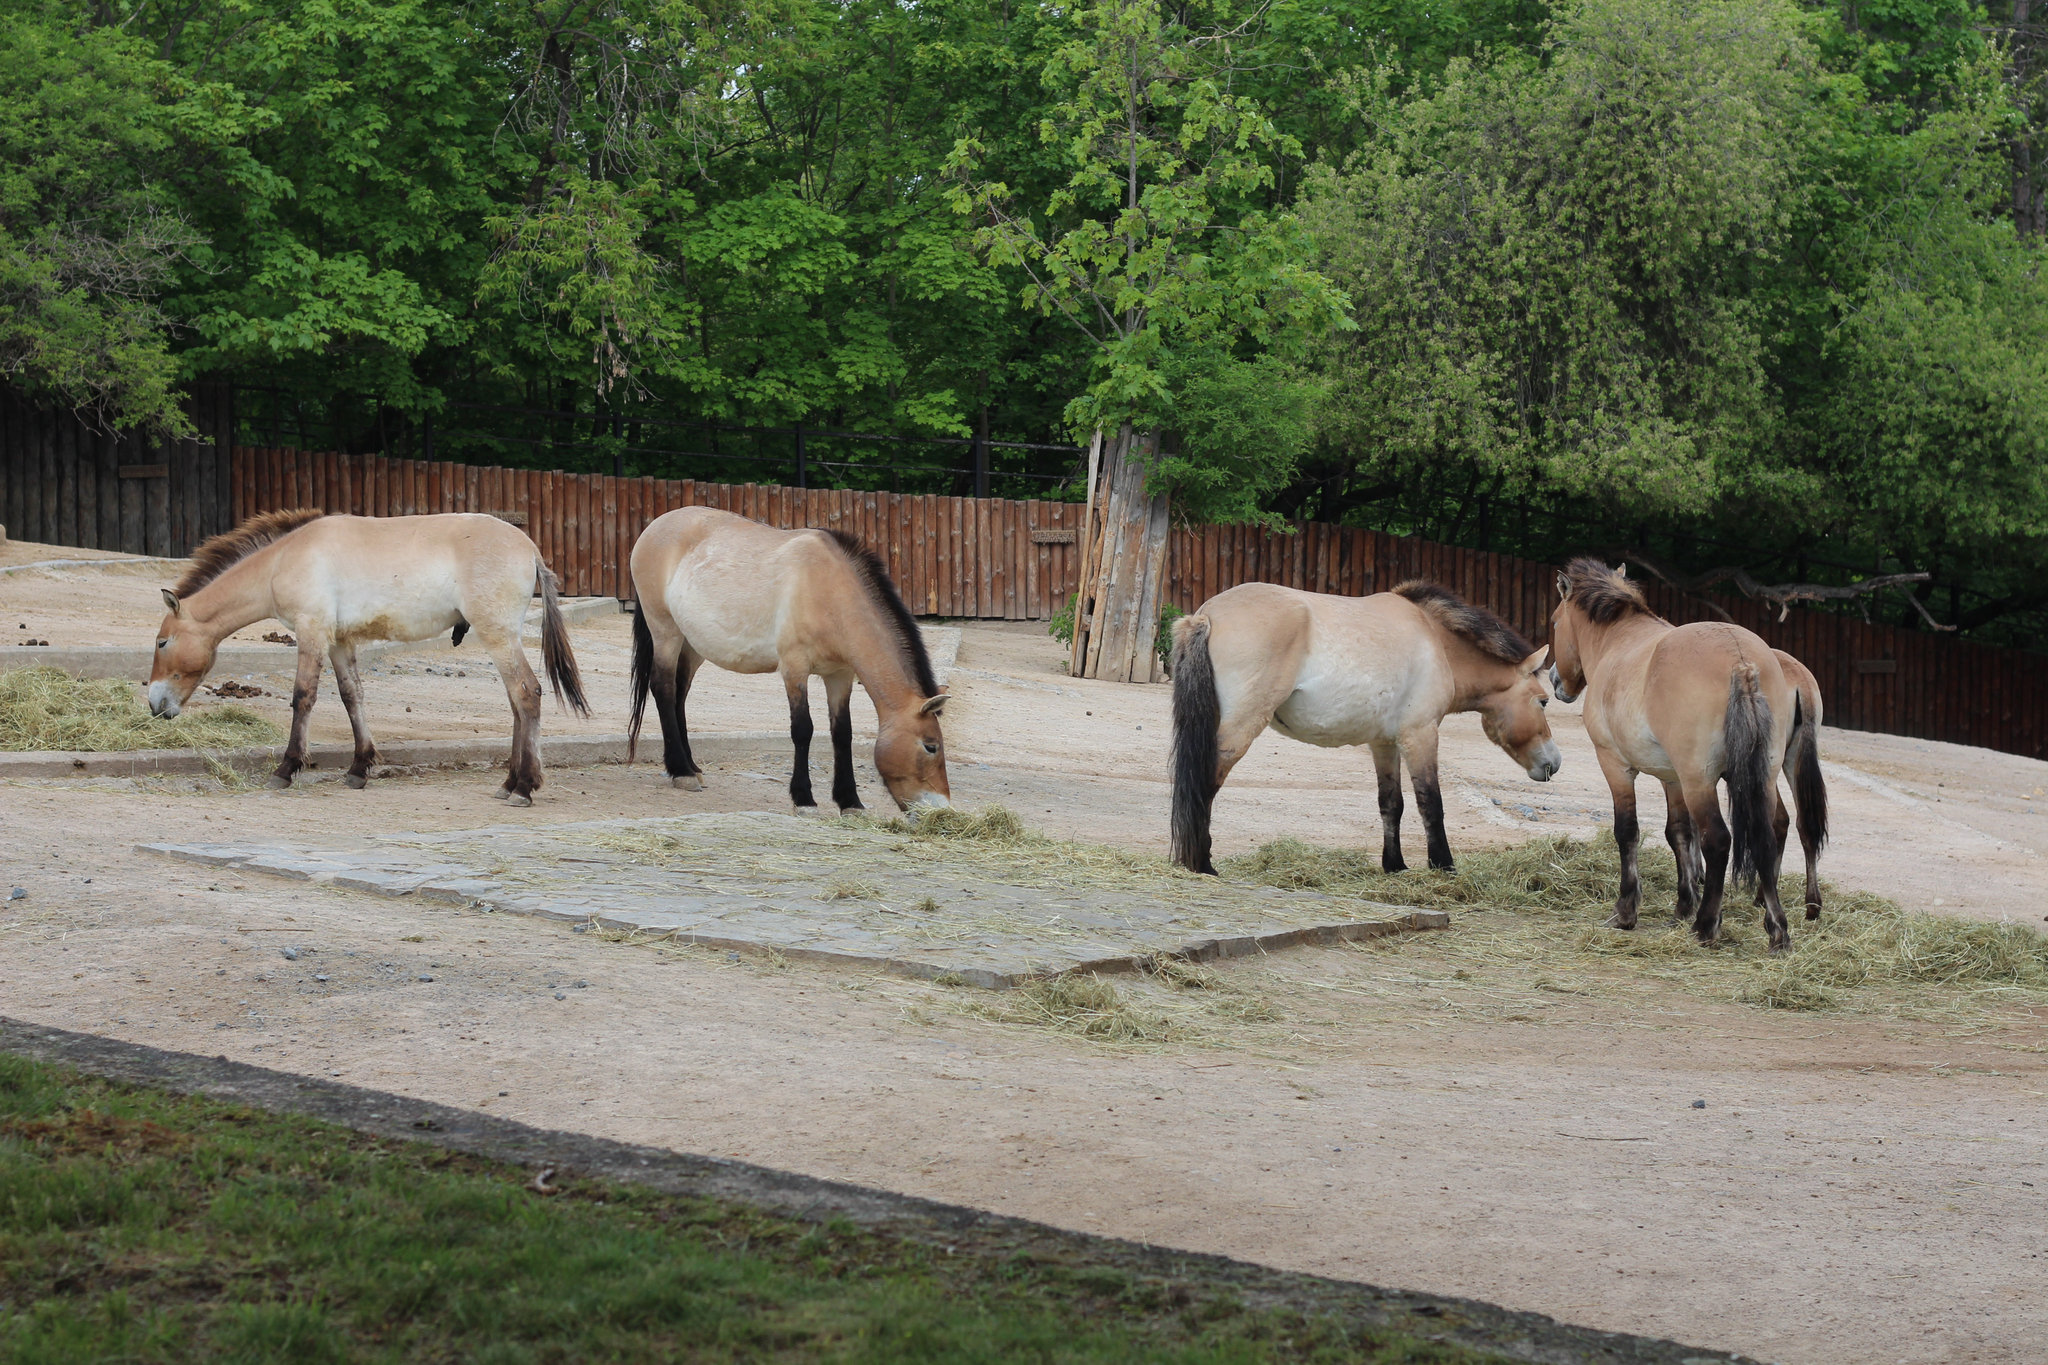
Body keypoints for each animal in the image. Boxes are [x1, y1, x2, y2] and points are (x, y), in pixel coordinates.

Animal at [145, 509, 589, 802]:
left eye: (163, 642)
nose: (154, 704)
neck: (284, 559)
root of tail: (529, 549)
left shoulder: (311, 631)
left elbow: (303, 697)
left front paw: (287, 769)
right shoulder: (339, 641)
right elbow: (351, 696)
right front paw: (359, 768)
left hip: (499, 637)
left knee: (527, 694)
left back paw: (525, 787)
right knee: (517, 703)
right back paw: (508, 783)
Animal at [622, 509, 950, 810]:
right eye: (930, 746)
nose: (942, 807)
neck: (829, 590)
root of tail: (655, 526)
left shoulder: (840, 676)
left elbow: (842, 732)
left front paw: (850, 801)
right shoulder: (794, 669)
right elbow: (803, 729)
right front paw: (804, 798)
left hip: (692, 645)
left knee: (679, 695)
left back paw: (692, 767)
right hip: (665, 631)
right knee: (664, 689)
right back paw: (681, 772)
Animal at [1171, 577, 1564, 875]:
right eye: (1543, 701)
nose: (1554, 763)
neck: (1435, 641)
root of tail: (1205, 617)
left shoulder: (1384, 743)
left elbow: (1391, 804)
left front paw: (1395, 866)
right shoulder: (1420, 735)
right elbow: (1430, 803)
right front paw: (1444, 866)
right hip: (1240, 728)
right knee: (1205, 783)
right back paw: (1202, 864)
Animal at [1540, 556, 1818, 949]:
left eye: (1554, 621)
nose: (1555, 680)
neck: (1619, 641)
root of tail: (1741, 659)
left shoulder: (1616, 765)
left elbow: (1628, 831)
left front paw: (1626, 911)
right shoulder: (1672, 779)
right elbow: (1679, 834)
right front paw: (1683, 904)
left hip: (1700, 781)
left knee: (1718, 840)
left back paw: (1707, 925)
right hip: (1760, 776)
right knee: (1768, 834)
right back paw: (1776, 928)